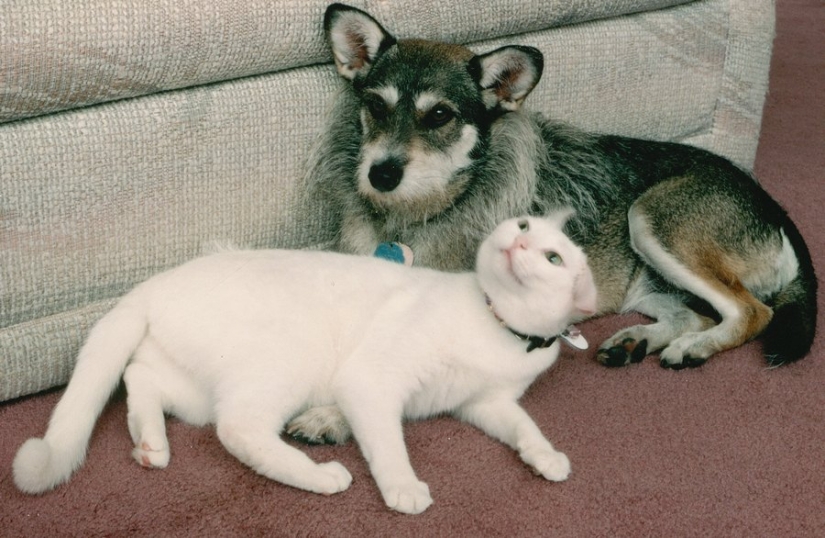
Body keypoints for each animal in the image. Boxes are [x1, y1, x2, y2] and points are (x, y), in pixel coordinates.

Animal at [11, 211, 592, 512]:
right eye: (523, 224)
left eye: (553, 256)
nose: (519, 242)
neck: (494, 325)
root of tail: (151, 285)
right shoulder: (372, 382)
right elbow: (389, 446)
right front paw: (404, 488)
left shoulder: (487, 403)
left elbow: (525, 427)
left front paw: (547, 458)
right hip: (288, 359)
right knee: (237, 429)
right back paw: (321, 477)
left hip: (196, 387)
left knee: (142, 377)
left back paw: (150, 443)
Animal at [306, 3, 816, 372]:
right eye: (376, 105)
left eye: (439, 115)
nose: (381, 174)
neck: (419, 213)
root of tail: (772, 203)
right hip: (645, 281)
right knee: (694, 313)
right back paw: (637, 341)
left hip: (653, 219)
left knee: (753, 312)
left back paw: (694, 348)